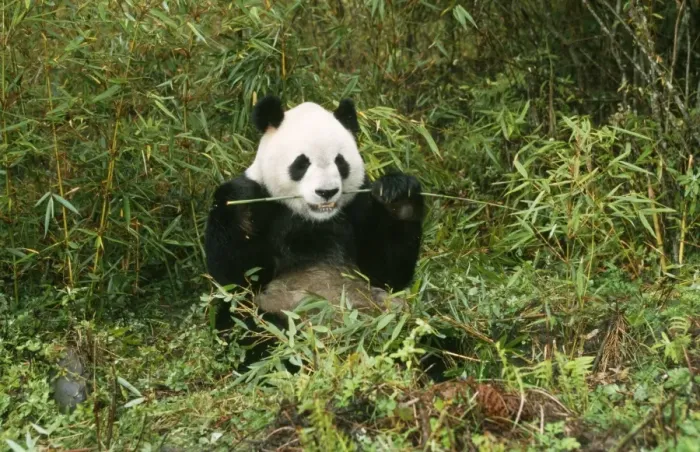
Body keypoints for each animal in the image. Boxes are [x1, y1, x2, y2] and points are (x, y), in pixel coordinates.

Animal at [204, 95, 424, 369]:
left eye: (340, 162)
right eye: (301, 163)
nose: (326, 192)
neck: (314, 218)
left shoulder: (357, 205)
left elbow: (385, 271)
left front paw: (398, 196)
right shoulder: (268, 207)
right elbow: (234, 277)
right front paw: (241, 202)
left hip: (386, 312)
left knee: (421, 332)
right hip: (275, 310)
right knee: (249, 330)